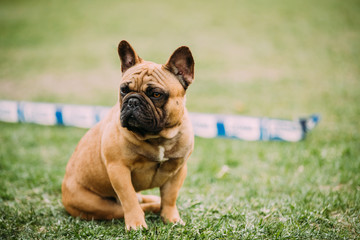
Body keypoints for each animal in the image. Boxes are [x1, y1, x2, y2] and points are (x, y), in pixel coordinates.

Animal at [63, 40, 195, 230]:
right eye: (124, 90)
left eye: (156, 94)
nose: (132, 101)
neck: (157, 137)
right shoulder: (118, 169)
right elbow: (129, 198)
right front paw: (136, 224)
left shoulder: (177, 169)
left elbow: (170, 197)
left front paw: (171, 219)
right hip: (96, 205)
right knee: (132, 205)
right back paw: (154, 206)